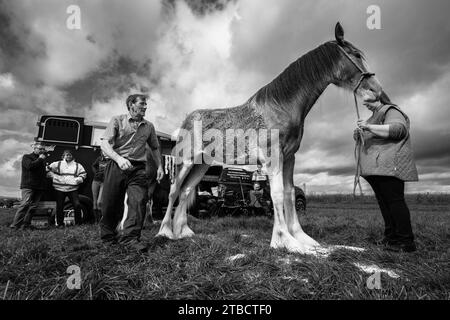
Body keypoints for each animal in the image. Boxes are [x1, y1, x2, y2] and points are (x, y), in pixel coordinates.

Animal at [156, 22, 382, 254]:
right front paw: (284, 240)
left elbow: (290, 194)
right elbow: (278, 194)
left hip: (201, 164)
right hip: (185, 162)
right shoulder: (273, 158)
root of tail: (188, 119)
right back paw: (165, 232)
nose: (377, 91)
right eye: (356, 54)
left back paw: (184, 232)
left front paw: (301, 238)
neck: (280, 107)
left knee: (186, 192)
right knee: (174, 191)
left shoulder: (290, 157)